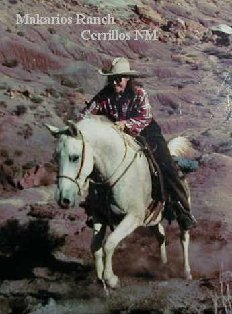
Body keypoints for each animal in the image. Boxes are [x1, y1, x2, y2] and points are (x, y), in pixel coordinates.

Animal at [46, 114, 193, 288]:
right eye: (56, 157)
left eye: (74, 157)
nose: (63, 199)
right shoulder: (99, 216)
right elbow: (95, 246)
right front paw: (100, 278)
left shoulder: (132, 217)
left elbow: (109, 243)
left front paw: (111, 278)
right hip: (152, 217)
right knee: (161, 235)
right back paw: (163, 264)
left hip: (180, 209)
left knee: (184, 237)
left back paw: (187, 272)